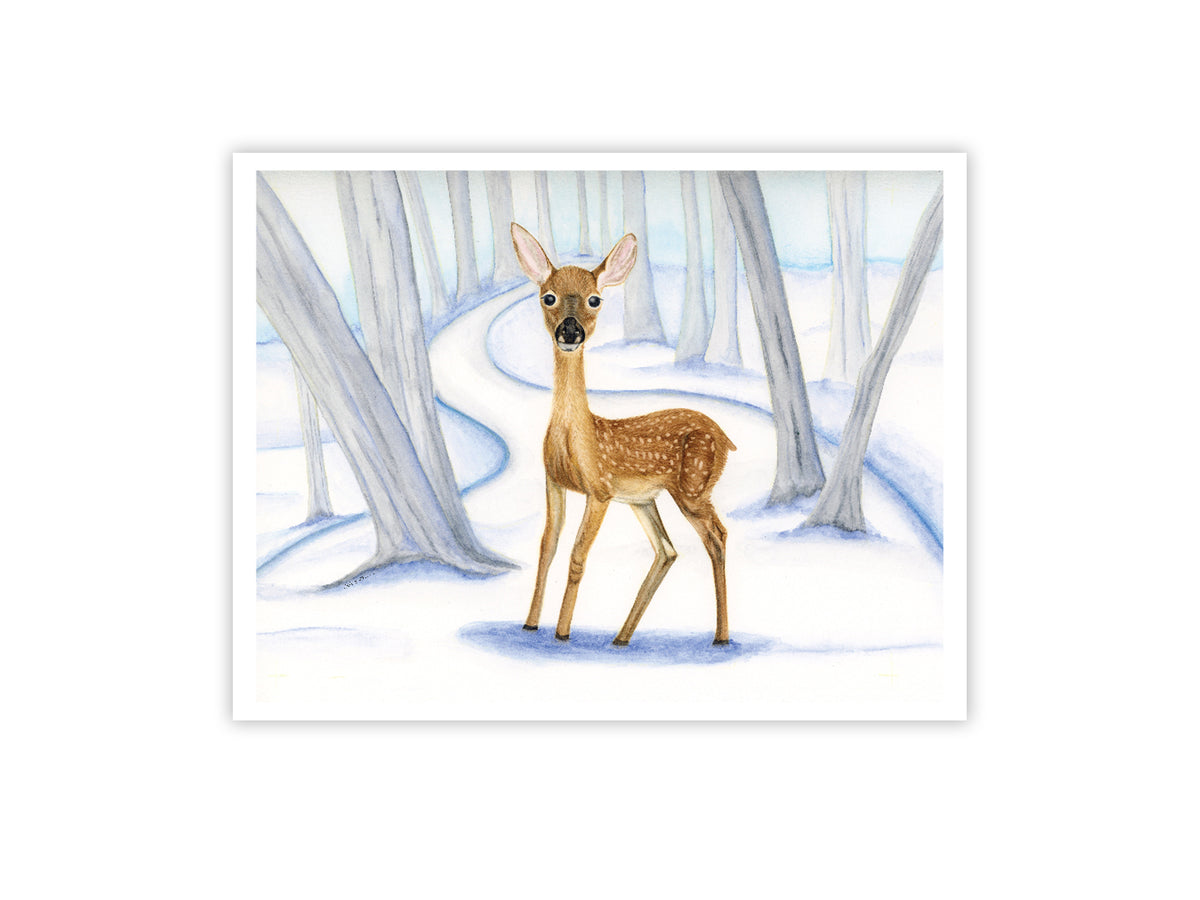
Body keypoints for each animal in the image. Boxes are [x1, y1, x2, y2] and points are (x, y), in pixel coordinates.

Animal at [511, 222, 736, 647]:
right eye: (548, 297)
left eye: (594, 299)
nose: (570, 331)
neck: (576, 439)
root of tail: (726, 438)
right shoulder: (554, 482)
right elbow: (547, 547)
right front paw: (530, 623)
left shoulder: (599, 489)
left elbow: (577, 556)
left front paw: (562, 632)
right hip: (644, 500)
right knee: (667, 550)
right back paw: (621, 636)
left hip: (694, 486)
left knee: (717, 536)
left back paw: (721, 636)